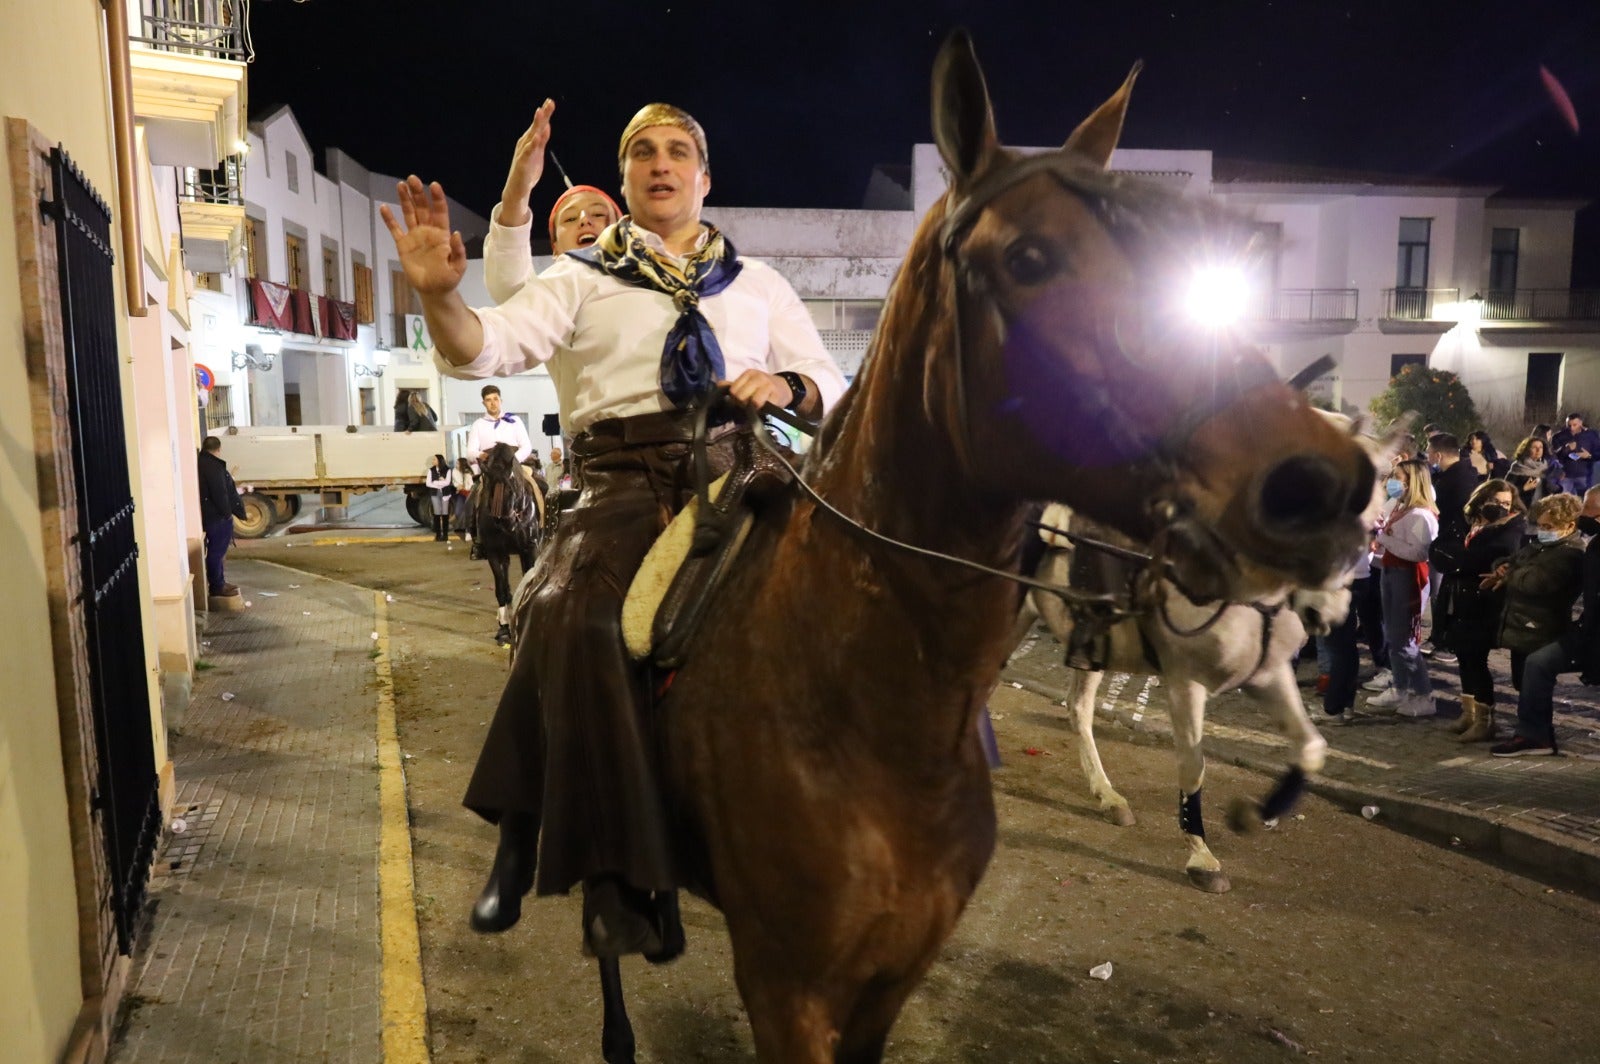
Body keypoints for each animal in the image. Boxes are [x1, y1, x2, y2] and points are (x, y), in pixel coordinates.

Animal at [473, 441, 544, 643]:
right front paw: (504, 629)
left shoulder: (530, 549)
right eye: (489, 489)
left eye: (511, 487)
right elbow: (501, 589)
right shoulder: (495, 554)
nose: (506, 523)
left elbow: (528, 582)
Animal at [1017, 502, 1344, 889]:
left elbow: (1310, 747)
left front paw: (1249, 816)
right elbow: (1193, 767)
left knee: (1078, 708)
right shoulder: (1185, 682)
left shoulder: (1269, 674)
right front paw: (1202, 857)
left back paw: (1108, 796)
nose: (1326, 612)